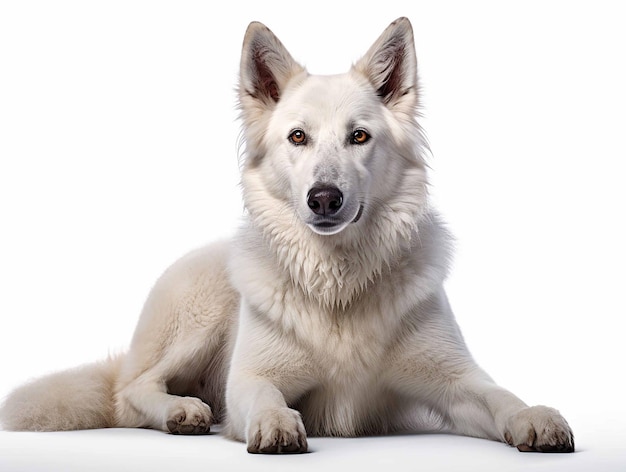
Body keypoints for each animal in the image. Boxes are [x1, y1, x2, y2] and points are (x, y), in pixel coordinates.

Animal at [0, 17, 572, 454]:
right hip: (198, 313)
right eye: (298, 137)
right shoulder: (250, 378)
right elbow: (265, 397)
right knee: (131, 391)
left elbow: (499, 395)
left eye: (359, 136)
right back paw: (182, 411)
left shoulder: (455, 381)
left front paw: (535, 415)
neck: (338, 280)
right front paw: (276, 424)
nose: (324, 198)